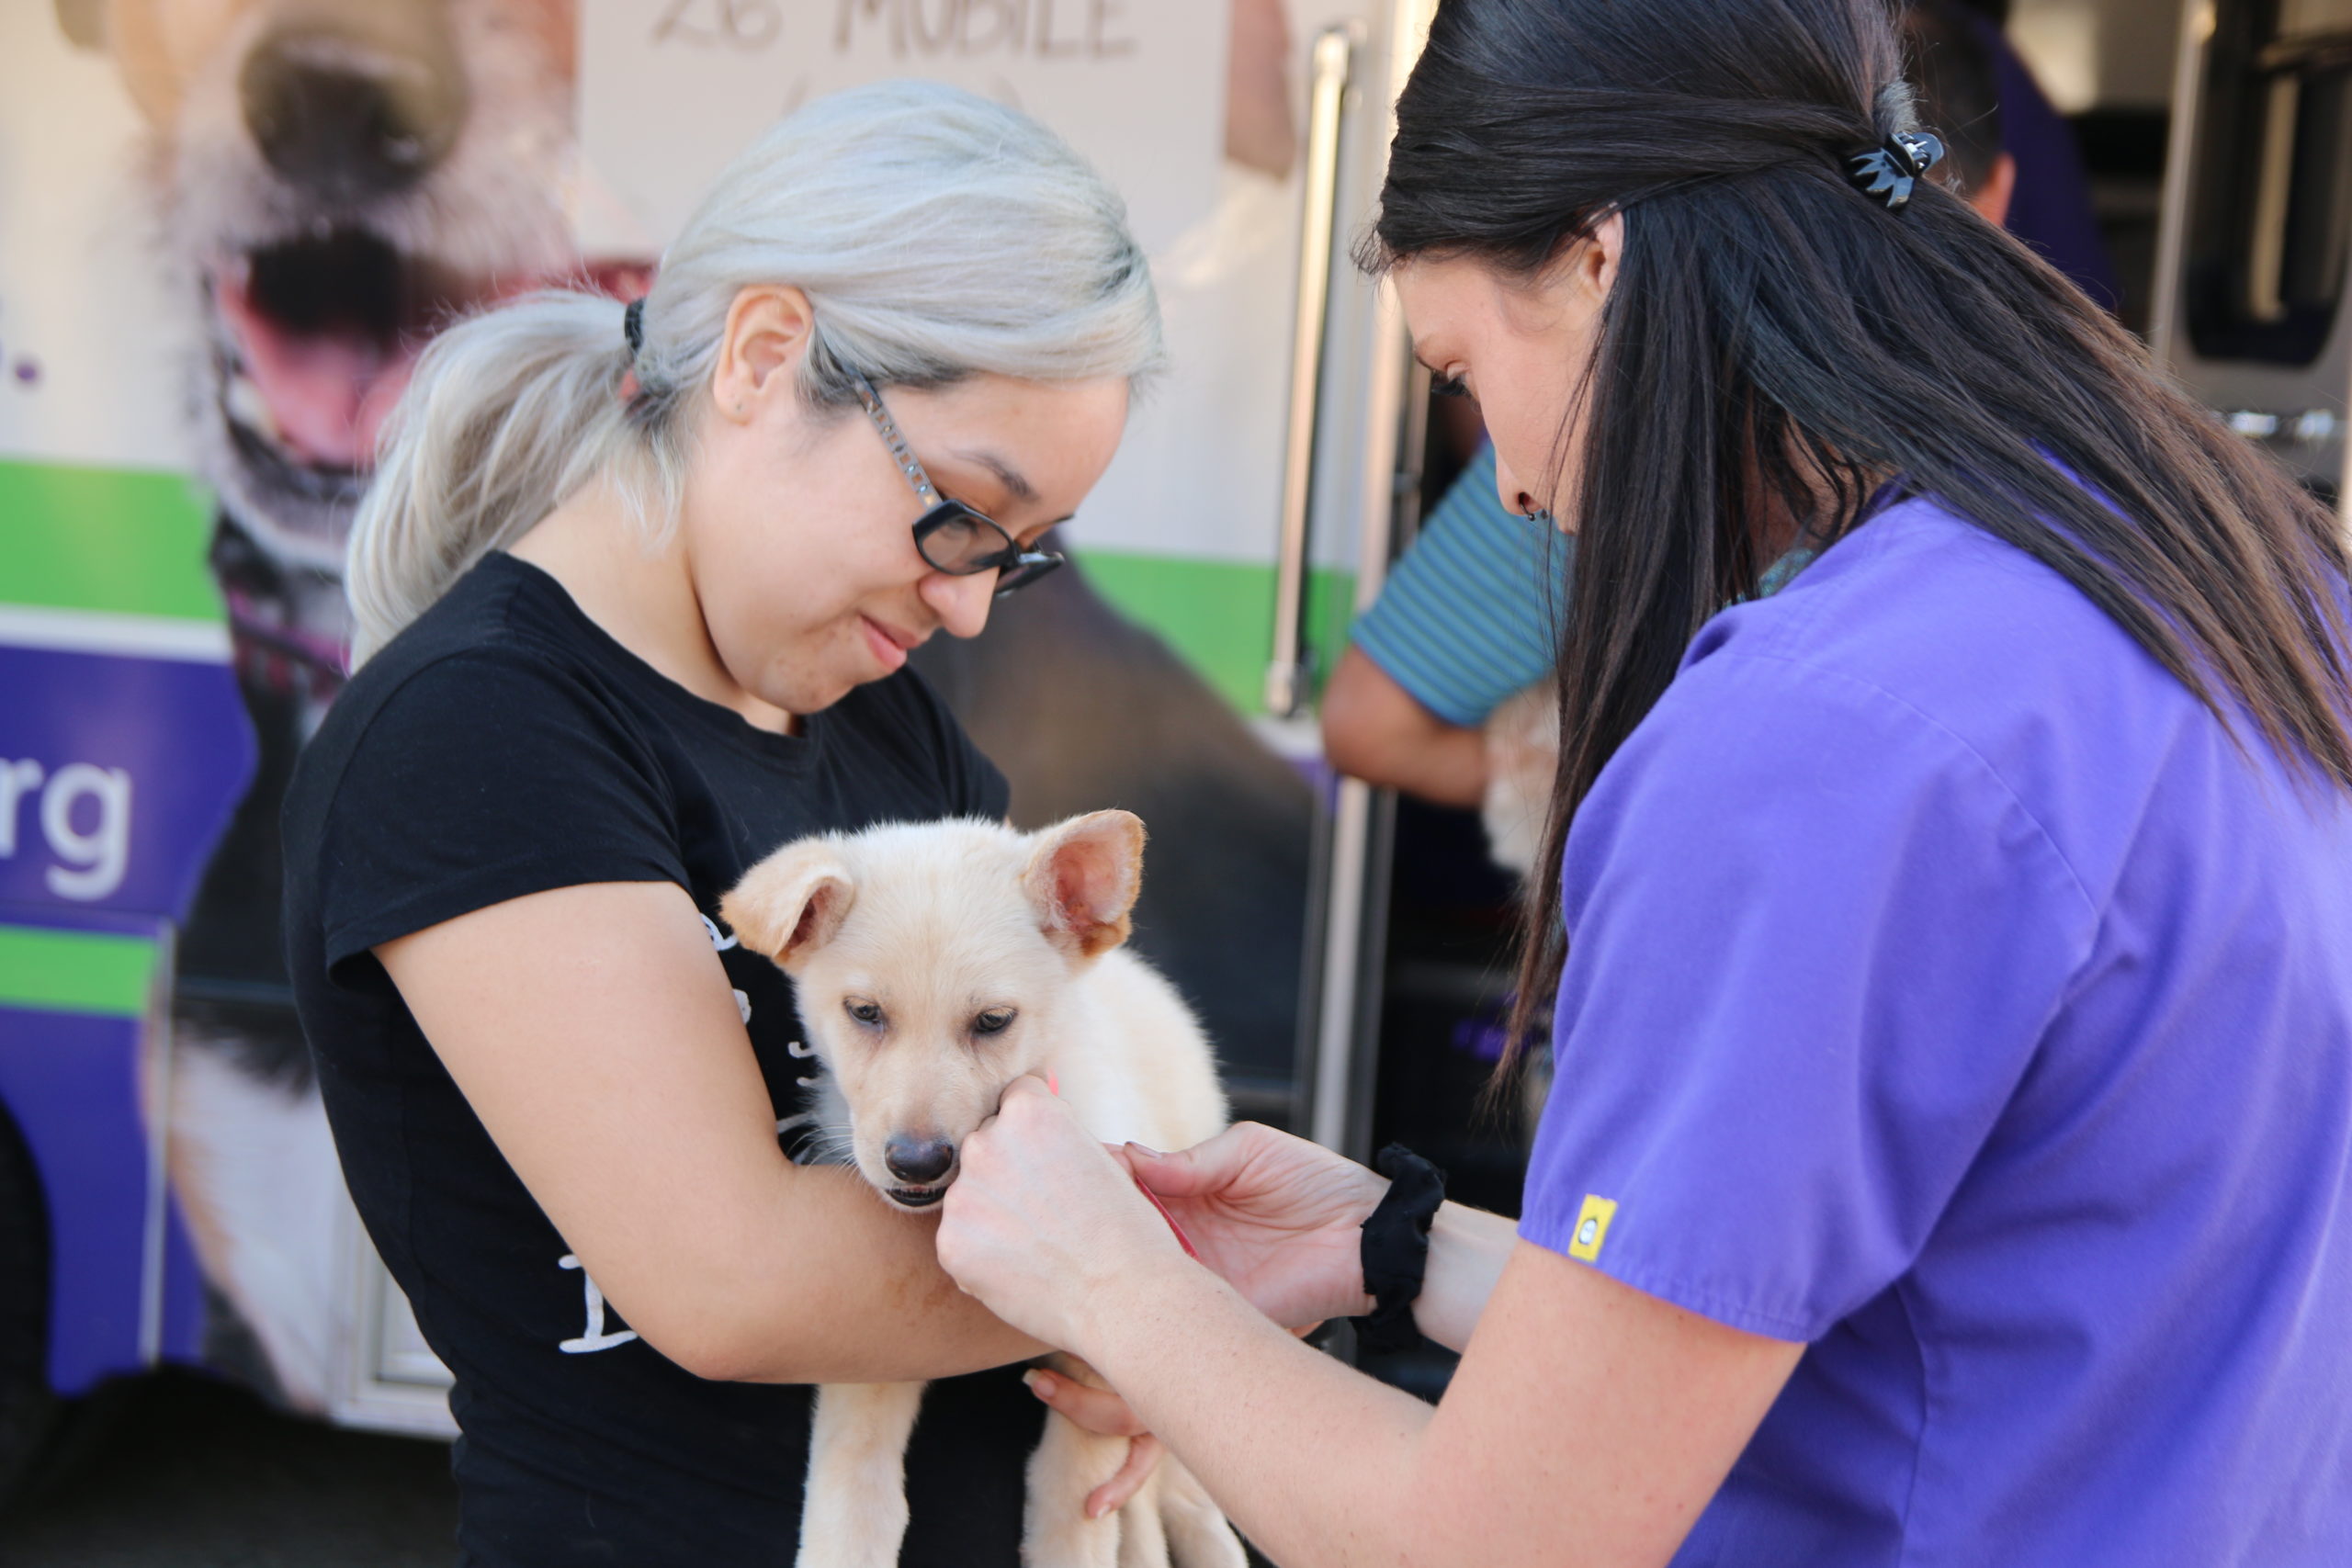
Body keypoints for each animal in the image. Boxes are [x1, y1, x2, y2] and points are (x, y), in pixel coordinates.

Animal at [724, 818, 1250, 1568]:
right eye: (865, 1012)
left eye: (994, 1020)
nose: (917, 1163)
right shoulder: (872, 1344)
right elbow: (856, 1482)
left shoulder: (1107, 1345)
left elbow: (1071, 1507)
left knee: (1188, 1501)